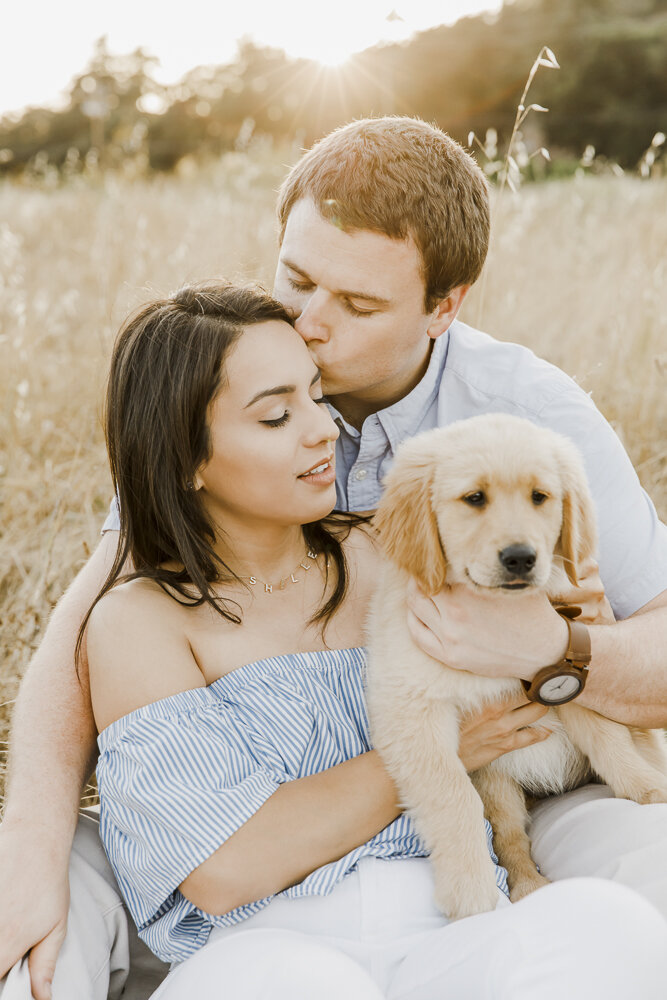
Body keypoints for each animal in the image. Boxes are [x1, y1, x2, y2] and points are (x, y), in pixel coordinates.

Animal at [366, 414, 667, 920]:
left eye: (539, 497)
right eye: (474, 498)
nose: (521, 558)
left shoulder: (565, 670)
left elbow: (610, 741)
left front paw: (649, 790)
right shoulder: (410, 707)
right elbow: (452, 793)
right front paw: (470, 890)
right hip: (498, 781)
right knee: (509, 836)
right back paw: (526, 884)